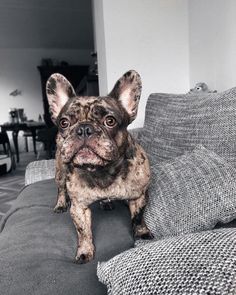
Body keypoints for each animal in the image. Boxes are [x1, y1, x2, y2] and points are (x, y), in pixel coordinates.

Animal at [46, 70, 153, 264]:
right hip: (60, 170)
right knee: (61, 189)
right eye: (64, 123)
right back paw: (60, 204)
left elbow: (138, 217)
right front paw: (85, 251)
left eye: (110, 121)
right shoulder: (79, 207)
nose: (84, 129)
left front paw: (141, 232)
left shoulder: (139, 196)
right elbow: (83, 232)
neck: (103, 172)